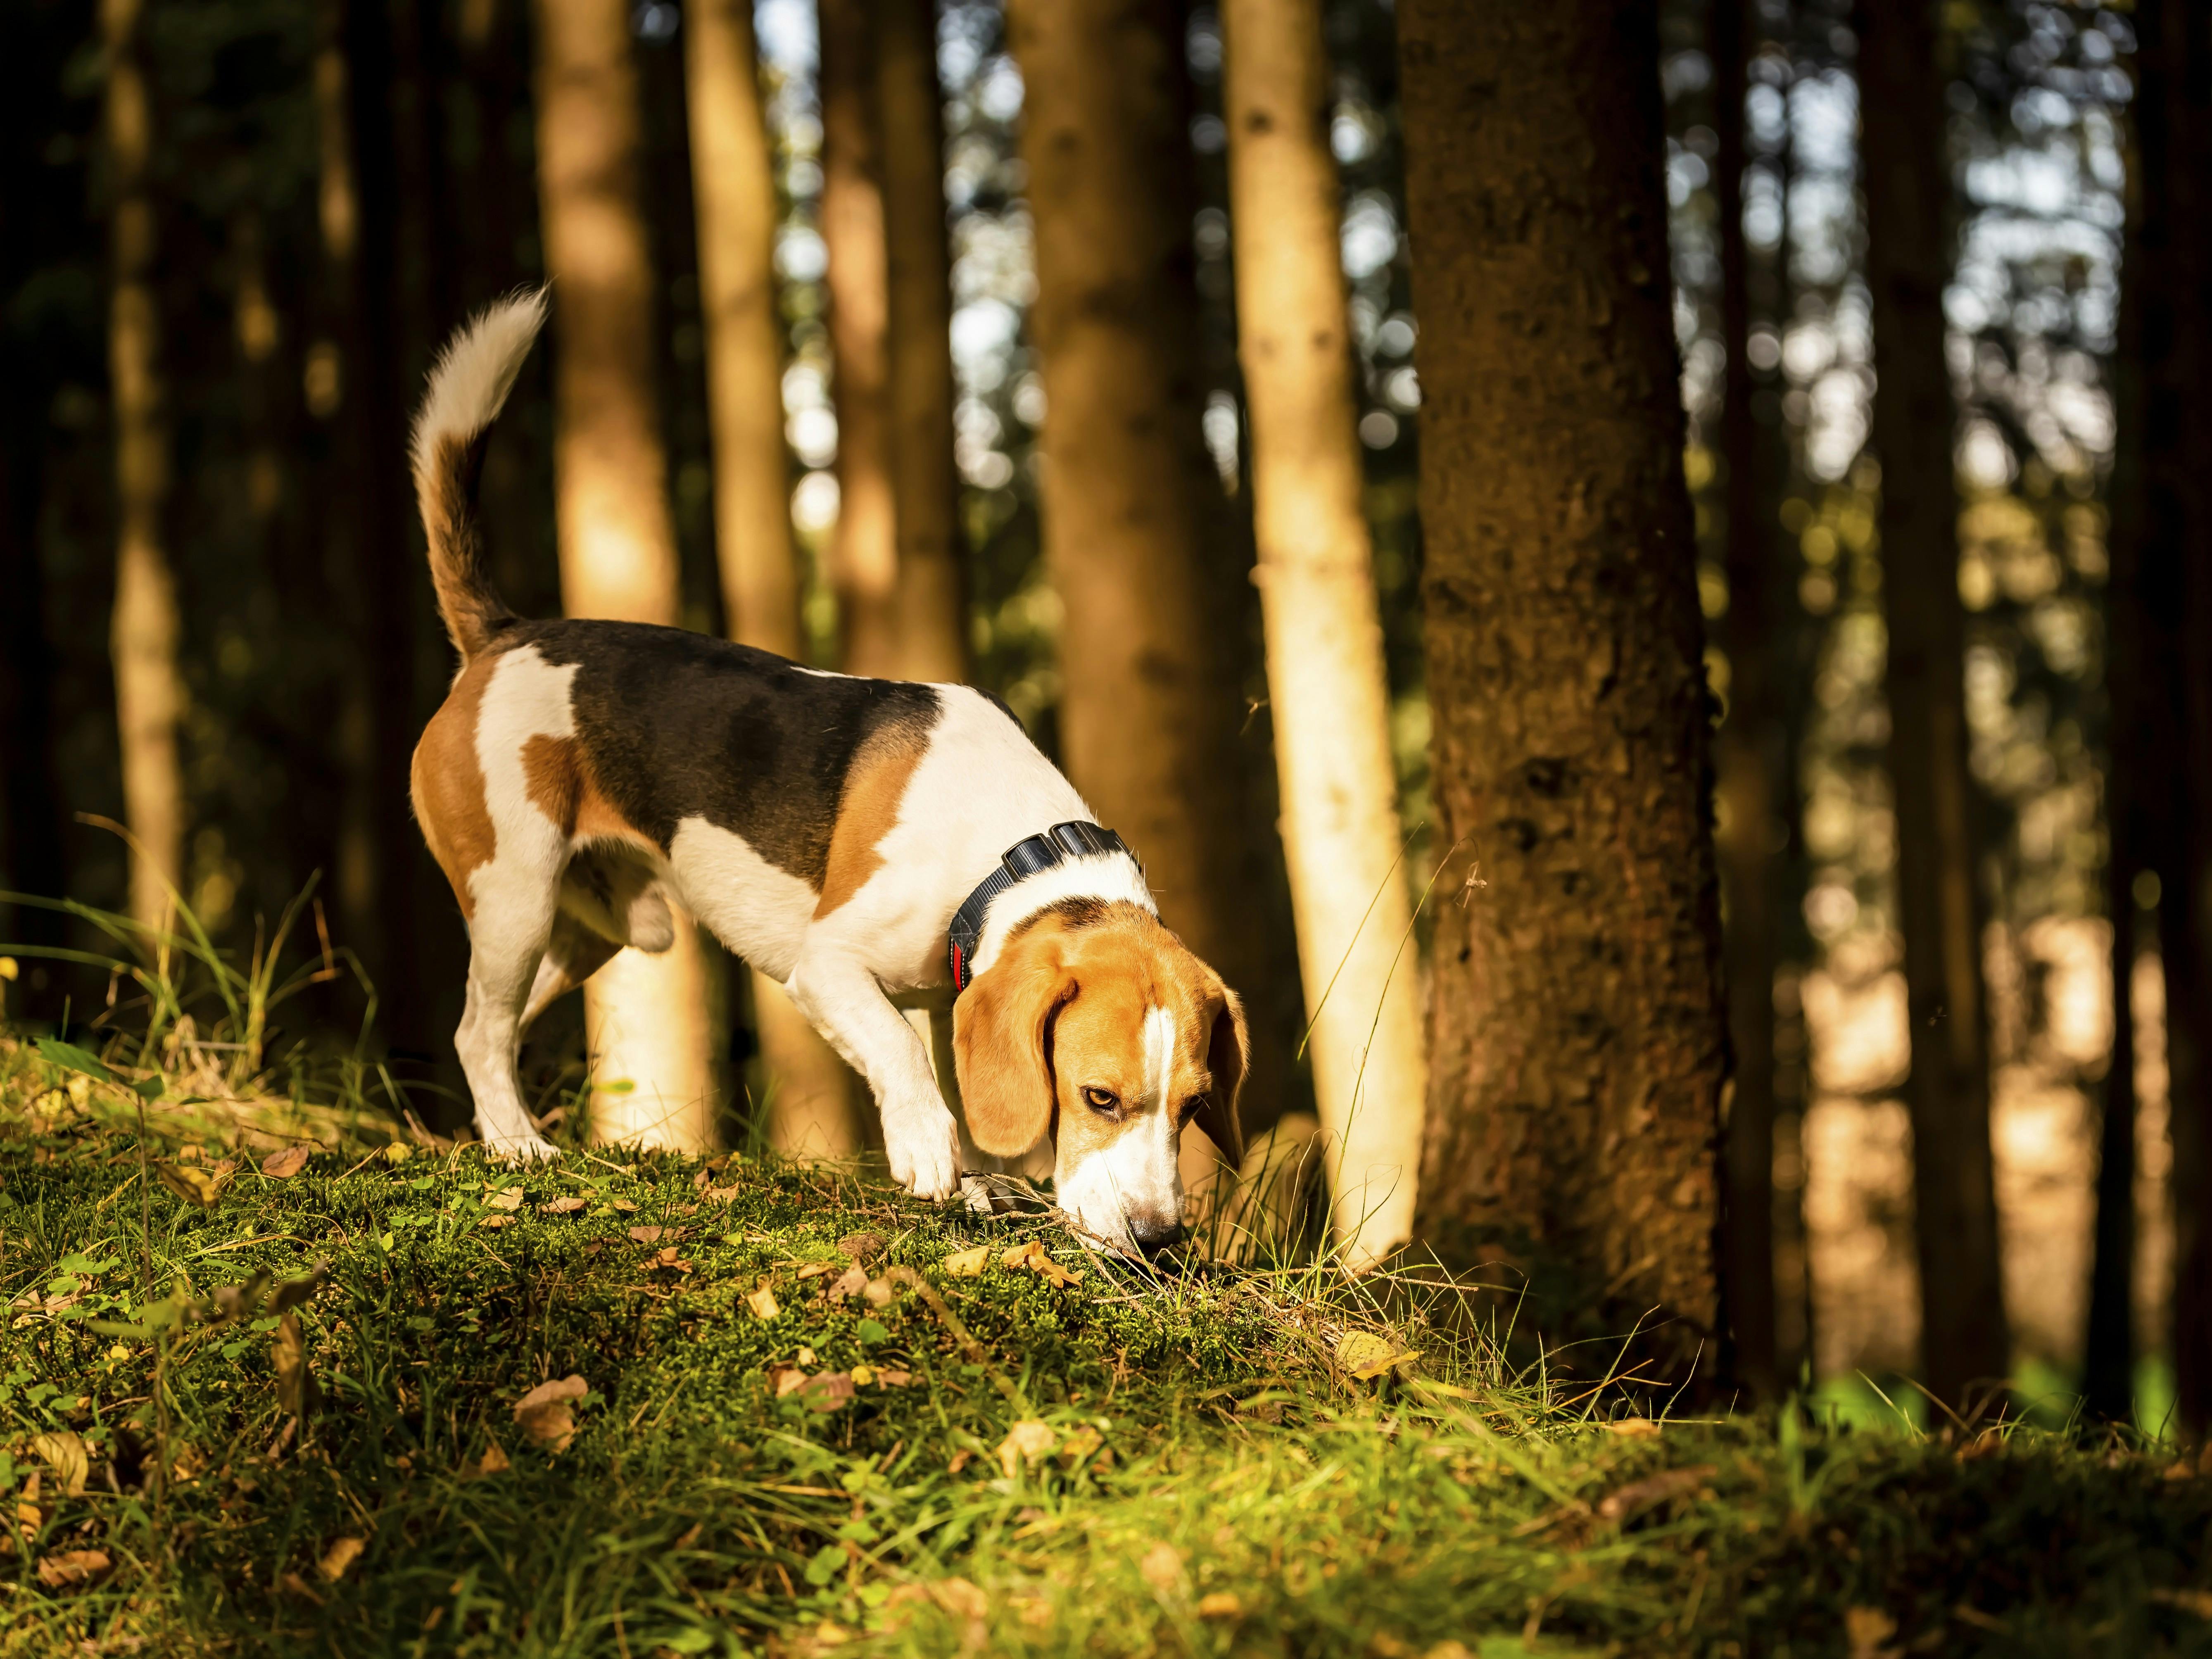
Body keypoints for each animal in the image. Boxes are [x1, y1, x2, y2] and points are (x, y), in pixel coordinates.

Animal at [400, 296, 1247, 1256]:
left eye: (1193, 1108)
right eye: (1099, 1097)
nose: (1158, 1237)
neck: (1016, 852)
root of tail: (504, 635)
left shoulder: (941, 994)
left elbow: (943, 1065)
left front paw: (974, 1180)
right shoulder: (829, 965)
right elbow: (906, 1060)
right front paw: (927, 1150)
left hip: (587, 933)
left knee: (495, 1027)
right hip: (514, 896)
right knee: (477, 1030)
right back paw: (517, 1146)